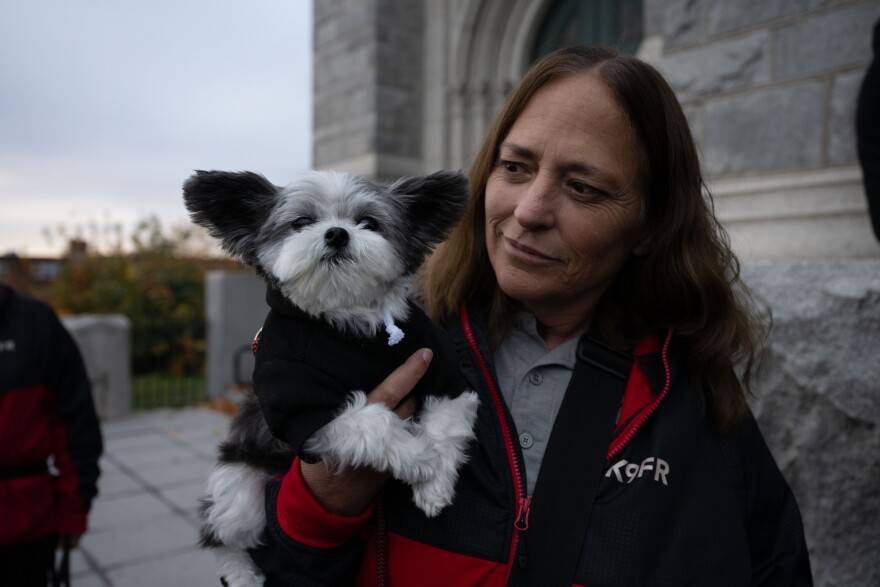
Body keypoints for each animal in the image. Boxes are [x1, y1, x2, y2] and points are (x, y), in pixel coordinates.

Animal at [181, 168, 478, 584]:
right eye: (301, 223)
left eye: (369, 222)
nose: (337, 233)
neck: (350, 325)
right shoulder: (301, 404)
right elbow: (373, 423)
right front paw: (419, 458)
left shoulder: (441, 371)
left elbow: (447, 424)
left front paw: (435, 486)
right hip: (240, 488)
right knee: (223, 535)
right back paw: (242, 574)